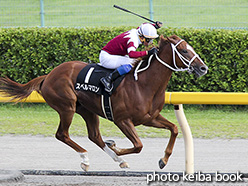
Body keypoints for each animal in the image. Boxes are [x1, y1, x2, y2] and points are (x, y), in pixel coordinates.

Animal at [0, 35, 207, 171]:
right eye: (183, 50)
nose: (203, 68)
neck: (144, 83)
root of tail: (48, 75)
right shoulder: (122, 120)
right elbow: (138, 145)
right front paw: (116, 147)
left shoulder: (150, 118)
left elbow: (174, 129)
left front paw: (163, 160)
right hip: (67, 107)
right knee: (62, 134)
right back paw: (85, 158)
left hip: (87, 110)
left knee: (94, 136)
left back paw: (115, 159)